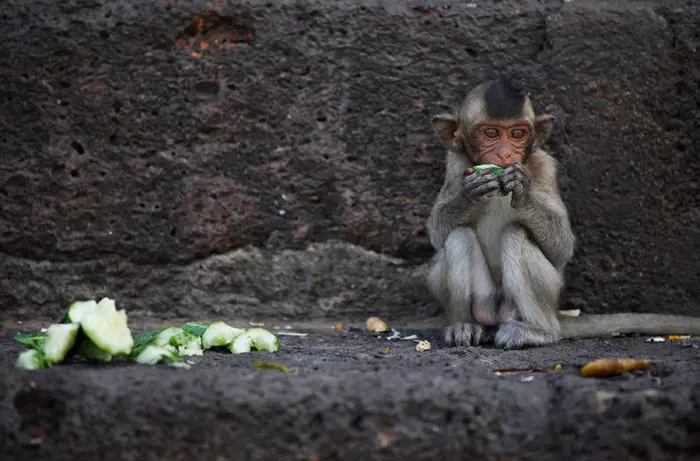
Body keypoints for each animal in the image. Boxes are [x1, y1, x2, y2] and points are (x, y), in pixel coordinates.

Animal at [424, 74, 700, 348]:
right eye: (491, 132)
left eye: (517, 133)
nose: (505, 154)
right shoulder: (455, 163)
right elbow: (438, 233)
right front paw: (471, 192)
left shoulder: (544, 166)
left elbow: (562, 248)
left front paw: (522, 190)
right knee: (459, 236)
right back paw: (466, 326)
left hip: (548, 292)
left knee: (516, 234)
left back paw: (539, 331)